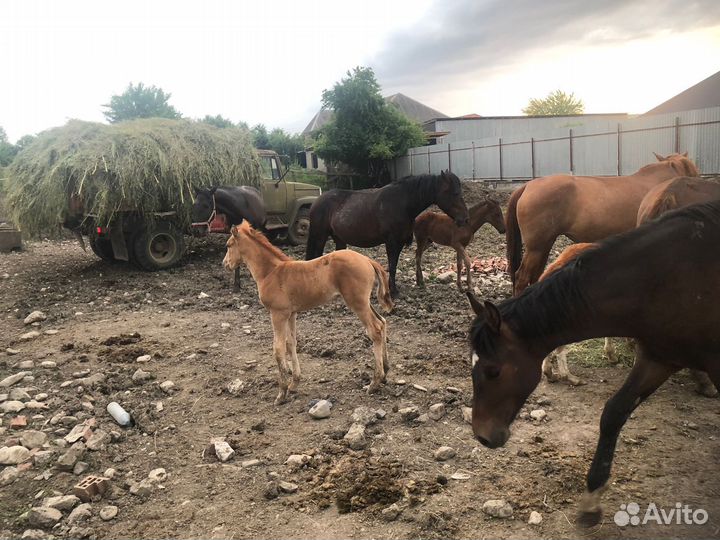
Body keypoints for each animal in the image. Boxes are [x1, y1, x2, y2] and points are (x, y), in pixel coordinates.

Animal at [223, 221, 393, 405]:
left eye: (229, 245)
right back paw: (385, 371)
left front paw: (281, 393)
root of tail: (367, 260)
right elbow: (291, 343)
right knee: (382, 322)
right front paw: (294, 383)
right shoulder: (291, 314)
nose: (225, 264)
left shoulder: (278, 314)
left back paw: (374, 382)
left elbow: (278, 349)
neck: (270, 272)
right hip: (364, 302)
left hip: (357, 302)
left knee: (375, 329)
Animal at [305, 171, 469, 297]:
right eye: (455, 193)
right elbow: (392, 265)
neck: (402, 203)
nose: (465, 219)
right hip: (320, 236)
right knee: (316, 257)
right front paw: (393, 291)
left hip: (339, 238)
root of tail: (317, 201)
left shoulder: (400, 242)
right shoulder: (391, 242)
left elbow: (394, 265)